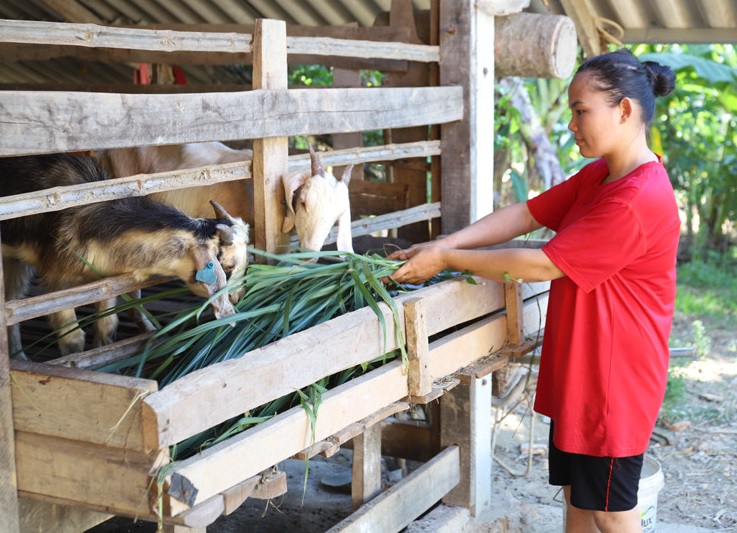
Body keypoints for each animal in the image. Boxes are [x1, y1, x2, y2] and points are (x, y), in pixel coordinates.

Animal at [0, 153, 249, 358]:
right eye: (227, 266)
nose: (239, 296)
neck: (90, 220)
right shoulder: (57, 282)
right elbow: (73, 339)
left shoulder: (103, 281)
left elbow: (107, 326)